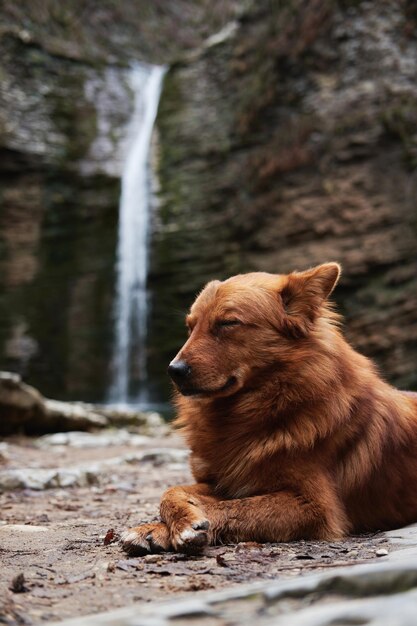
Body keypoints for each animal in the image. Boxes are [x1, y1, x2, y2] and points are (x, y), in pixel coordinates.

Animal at [121, 260, 416, 552]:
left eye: (228, 323)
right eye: (190, 327)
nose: (174, 371)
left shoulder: (315, 506)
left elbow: (236, 507)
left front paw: (183, 528)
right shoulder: (222, 480)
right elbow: (171, 491)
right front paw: (157, 526)